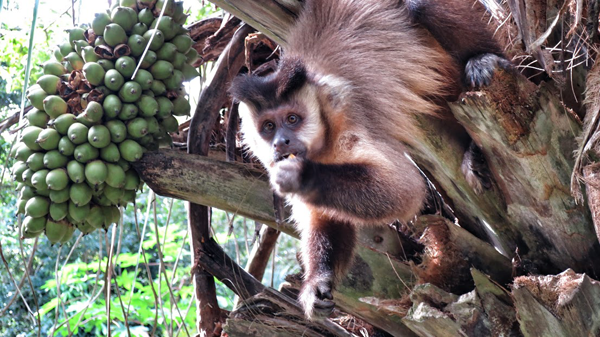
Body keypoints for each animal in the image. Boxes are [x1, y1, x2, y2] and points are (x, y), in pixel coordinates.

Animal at [230, 0, 510, 318]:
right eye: (268, 127)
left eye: (292, 119)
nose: (281, 142)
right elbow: (325, 217)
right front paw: (317, 283)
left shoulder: (348, 119)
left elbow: (405, 189)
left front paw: (303, 175)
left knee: (420, 8)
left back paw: (485, 63)